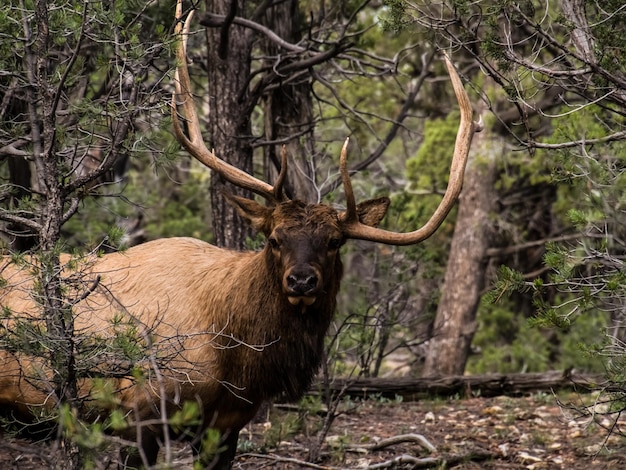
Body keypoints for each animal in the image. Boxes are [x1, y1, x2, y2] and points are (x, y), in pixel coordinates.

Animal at [0, 1, 476, 468]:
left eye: (334, 242)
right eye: (274, 238)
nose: (302, 280)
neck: (236, 362)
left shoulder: (226, 426)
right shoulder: (140, 414)